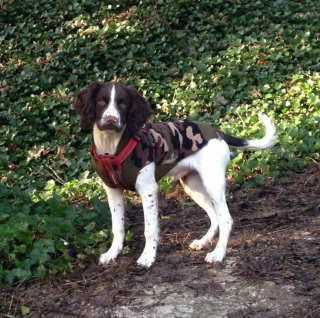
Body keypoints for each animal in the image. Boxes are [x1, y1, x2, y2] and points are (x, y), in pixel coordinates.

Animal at [74, 80, 276, 268]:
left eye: (123, 104)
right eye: (101, 101)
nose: (111, 120)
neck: (112, 148)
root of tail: (217, 132)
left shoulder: (148, 190)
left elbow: (149, 229)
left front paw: (148, 257)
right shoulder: (113, 191)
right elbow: (117, 227)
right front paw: (112, 253)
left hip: (213, 182)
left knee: (225, 218)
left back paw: (218, 254)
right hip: (193, 186)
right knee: (214, 217)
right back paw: (203, 242)